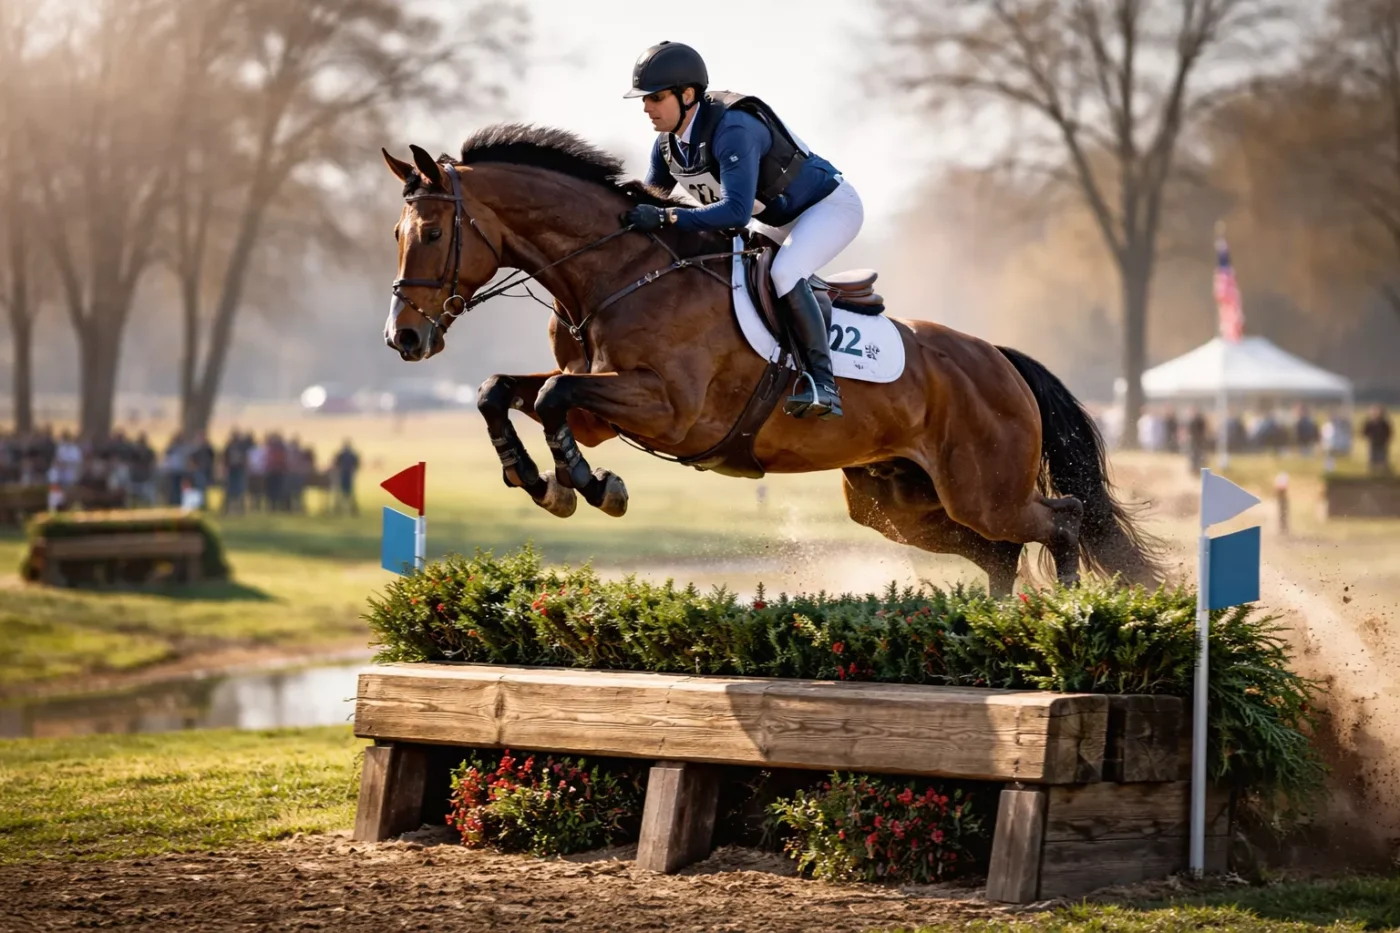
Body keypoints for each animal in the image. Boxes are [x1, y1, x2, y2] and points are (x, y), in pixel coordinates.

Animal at [381, 124, 1162, 596]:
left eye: (433, 232)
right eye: (397, 233)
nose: (403, 340)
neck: (617, 271)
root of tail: (998, 359)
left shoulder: (669, 409)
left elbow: (549, 401)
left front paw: (592, 487)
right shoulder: (600, 400)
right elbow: (501, 391)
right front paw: (540, 480)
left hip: (982, 490)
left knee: (1062, 519)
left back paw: (1062, 616)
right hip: (896, 504)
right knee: (1002, 551)